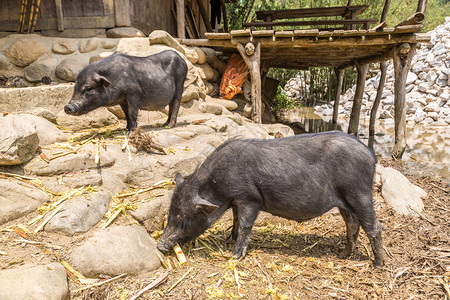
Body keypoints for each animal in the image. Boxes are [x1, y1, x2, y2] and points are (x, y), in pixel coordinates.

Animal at [156, 131, 384, 264]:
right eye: (170, 212)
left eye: (185, 218)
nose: (160, 246)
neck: (217, 183)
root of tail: (371, 155)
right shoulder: (236, 200)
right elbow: (235, 219)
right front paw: (230, 238)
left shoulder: (249, 198)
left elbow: (246, 224)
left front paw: (234, 256)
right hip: (345, 202)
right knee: (352, 224)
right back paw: (343, 255)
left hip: (360, 193)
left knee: (374, 227)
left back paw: (378, 264)